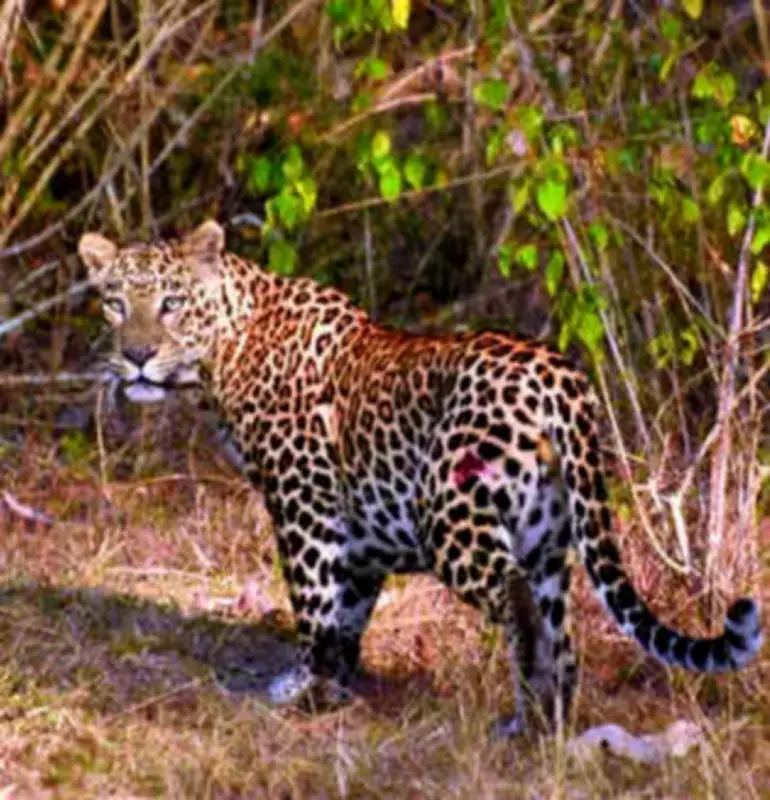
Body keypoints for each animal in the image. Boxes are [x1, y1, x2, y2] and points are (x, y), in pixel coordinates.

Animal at [78, 219, 762, 735]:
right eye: (116, 303)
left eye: (171, 304)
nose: (136, 356)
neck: (225, 352)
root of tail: (557, 375)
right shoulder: (356, 528)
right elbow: (348, 610)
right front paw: (336, 684)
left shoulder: (303, 501)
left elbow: (314, 602)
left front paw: (303, 687)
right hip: (550, 532)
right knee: (563, 634)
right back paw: (555, 725)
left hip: (452, 516)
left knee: (520, 607)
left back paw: (525, 723)